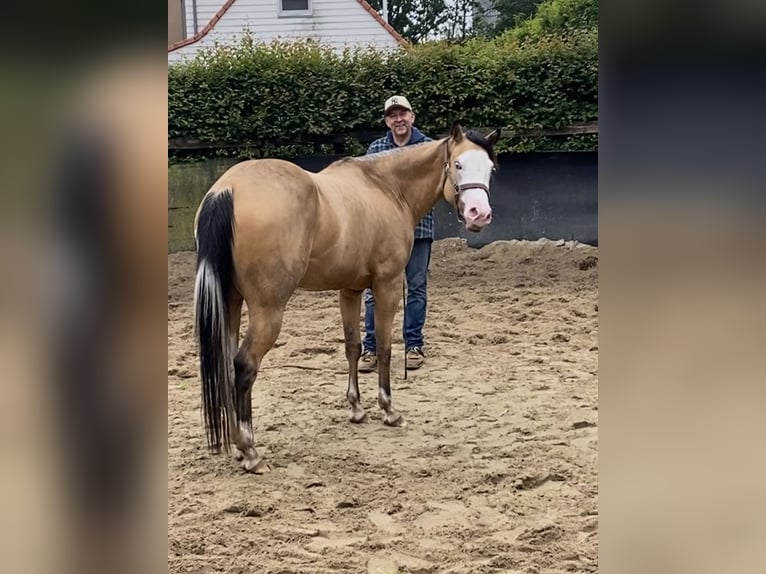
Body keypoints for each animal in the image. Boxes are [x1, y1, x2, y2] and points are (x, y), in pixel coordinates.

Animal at [195, 121, 500, 472]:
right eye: (458, 164)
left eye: (491, 168)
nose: (479, 214)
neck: (386, 187)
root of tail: (227, 189)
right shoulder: (387, 285)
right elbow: (383, 348)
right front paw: (388, 410)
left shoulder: (350, 290)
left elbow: (353, 347)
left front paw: (356, 408)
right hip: (267, 309)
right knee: (244, 365)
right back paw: (251, 451)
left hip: (230, 303)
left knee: (226, 364)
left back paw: (235, 445)